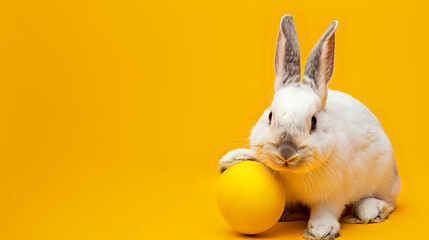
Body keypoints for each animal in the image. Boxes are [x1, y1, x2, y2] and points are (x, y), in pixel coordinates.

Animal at [219, 14, 400, 238]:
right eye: (270, 115)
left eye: (313, 121)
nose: (286, 152)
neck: (292, 173)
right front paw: (233, 158)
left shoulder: (332, 194)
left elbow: (326, 209)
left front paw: (320, 230)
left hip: (384, 177)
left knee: (388, 202)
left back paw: (370, 210)